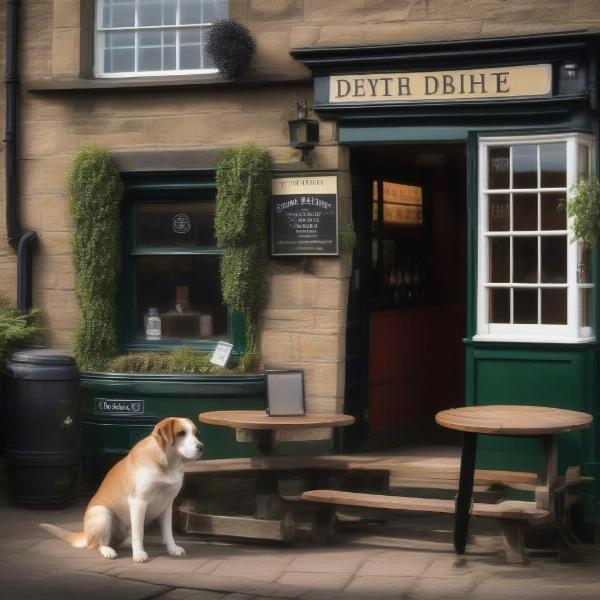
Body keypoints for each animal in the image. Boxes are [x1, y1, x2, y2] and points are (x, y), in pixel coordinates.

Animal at [41, 418, 204, 564]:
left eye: (195, 433)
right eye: (181, 433)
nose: (201, 446)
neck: (166, 462)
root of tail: (86, 535)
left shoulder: (167, 505)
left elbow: (168, 531)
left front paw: (172, 549)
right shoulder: (138, 502)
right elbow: (139, 532)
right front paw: (138, 554)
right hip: (102, 513)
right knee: (99, 544)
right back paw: (108, 550)